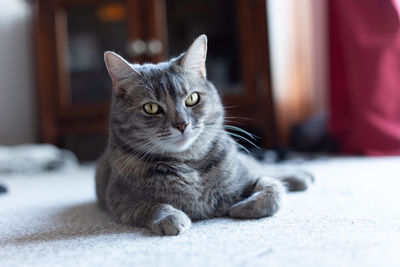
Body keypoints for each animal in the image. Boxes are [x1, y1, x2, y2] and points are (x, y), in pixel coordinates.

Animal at [94, 34, 312, 237]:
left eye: (192, 98)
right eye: (151, 108)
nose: (182, 124)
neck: (189, 165)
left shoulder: (247, 178)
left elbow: (273, 190)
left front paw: (240, 208)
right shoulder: (119, 201)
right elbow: (150, 206)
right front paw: (170, 217)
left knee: (267, 169)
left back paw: (301, 175)